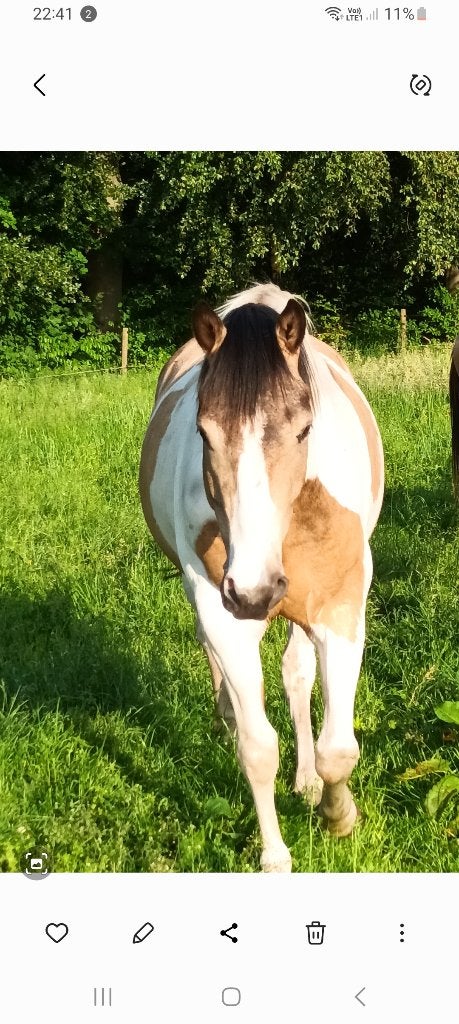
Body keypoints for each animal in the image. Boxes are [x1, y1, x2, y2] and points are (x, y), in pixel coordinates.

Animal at [139, 283, 384, 872]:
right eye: (204, 432)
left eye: (303, 429)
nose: (253, 592)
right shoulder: (223, 612)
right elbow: (257, 747)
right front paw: (275, 856)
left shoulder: (340, 608)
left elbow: (338, 748)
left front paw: (338, 815)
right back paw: (227, 715)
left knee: (297, 674)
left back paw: (308, 782)